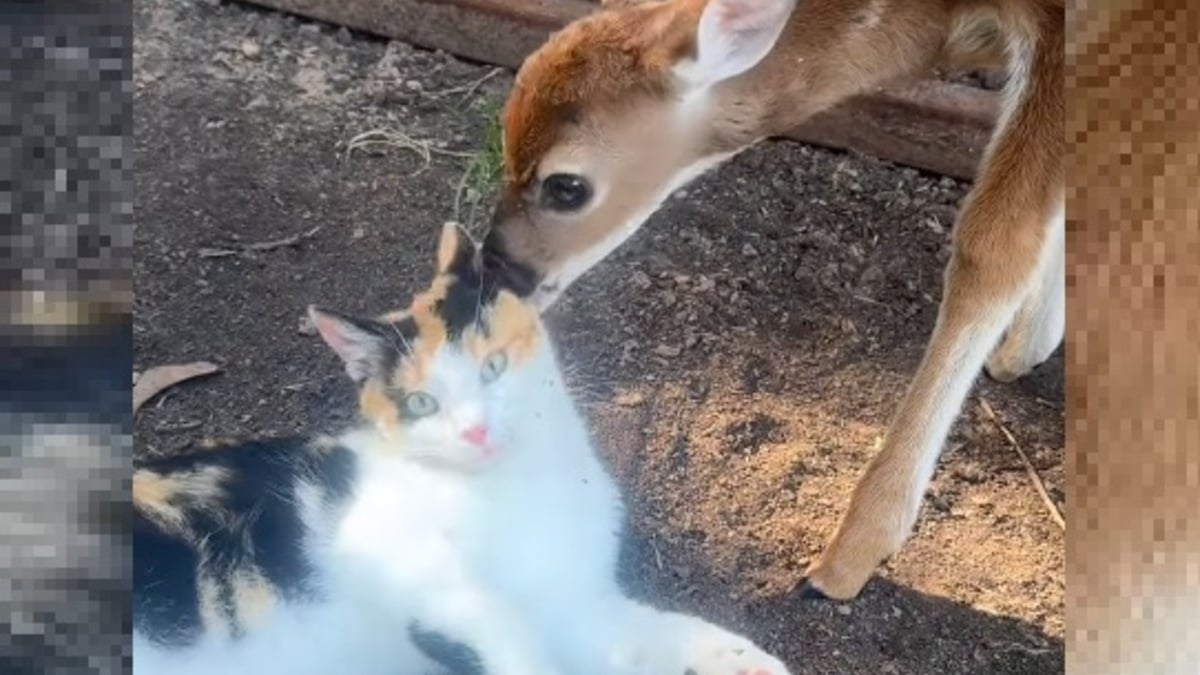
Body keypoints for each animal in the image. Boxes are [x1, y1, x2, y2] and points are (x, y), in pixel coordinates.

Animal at [131, 222, 792, 672]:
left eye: (492, 367)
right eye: (422, 403)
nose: (475, 429)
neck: (523, 488)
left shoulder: (574, 605)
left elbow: (649, 635)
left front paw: (743, 660)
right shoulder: (395, 550)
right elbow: (500, 629)